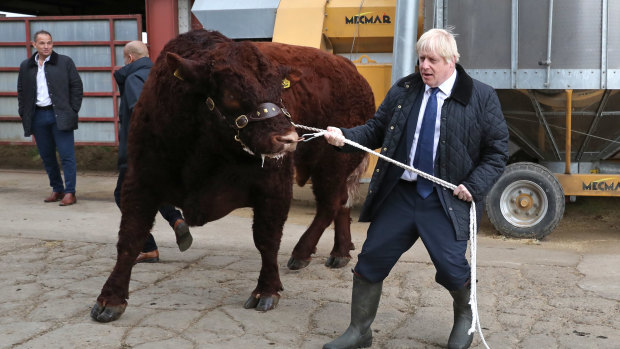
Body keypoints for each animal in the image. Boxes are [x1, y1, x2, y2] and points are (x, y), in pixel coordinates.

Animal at [90, 29, 376, 320]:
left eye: (280, 91)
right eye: (230, 94)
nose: (288, 138)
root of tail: (351, 70)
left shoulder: (274, 186)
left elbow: (267, 239)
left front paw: (266, 291)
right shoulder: (140, 180)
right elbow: (130, 238)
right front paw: (110, 298)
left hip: (333, 163)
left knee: (330, 205)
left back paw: (302, 252)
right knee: (340, 203)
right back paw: (340, 252)